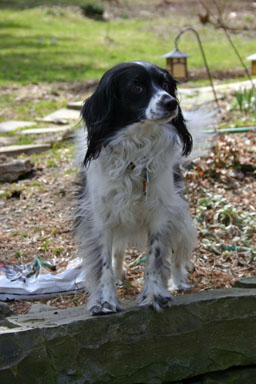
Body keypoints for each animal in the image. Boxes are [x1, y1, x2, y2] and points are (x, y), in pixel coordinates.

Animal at [75, 62, 199, 316]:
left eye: (165, 84)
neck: (136, 150)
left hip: (179, 217)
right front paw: (105, 301)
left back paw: (178, 282)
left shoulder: (161, 214)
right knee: (118, 252)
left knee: (179, 254)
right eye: (137, 87)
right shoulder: (101, 217)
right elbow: (104, 264)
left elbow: (155, 257)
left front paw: (154, 295)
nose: (172, 102)